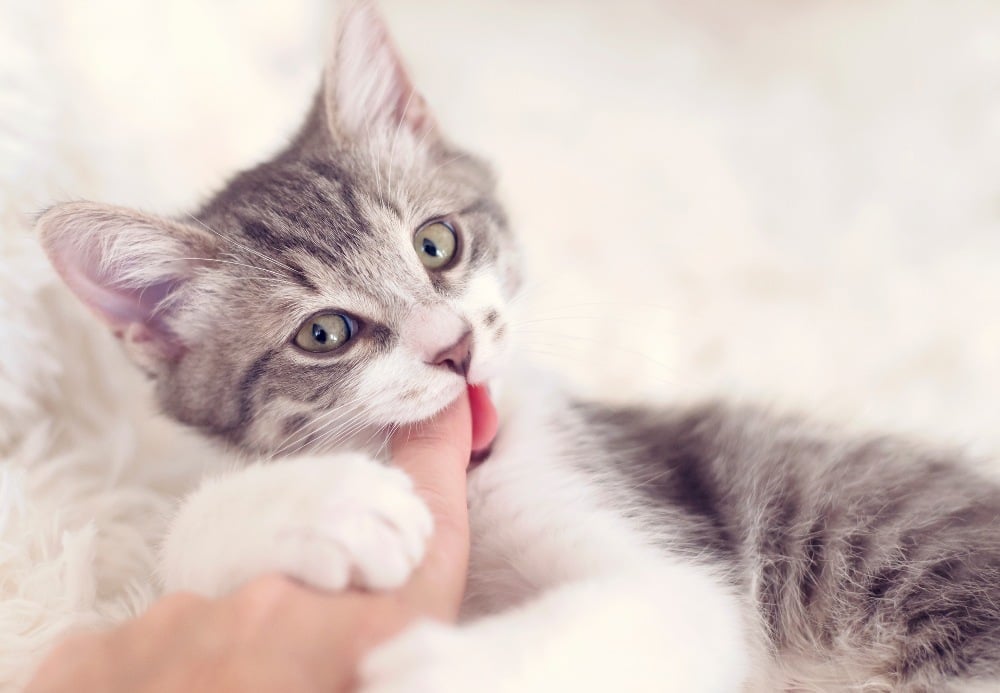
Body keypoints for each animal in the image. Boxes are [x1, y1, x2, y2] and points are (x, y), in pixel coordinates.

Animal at [33, 2, 1000, 688]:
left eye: (436, 243)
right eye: (324, 333)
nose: (455, 345)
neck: (473, 473)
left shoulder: (681, 564)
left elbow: (656, 609)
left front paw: (430, 671)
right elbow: (181, 552)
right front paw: (318, 506)